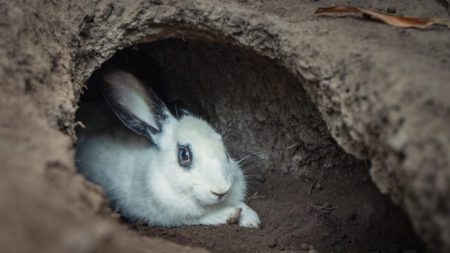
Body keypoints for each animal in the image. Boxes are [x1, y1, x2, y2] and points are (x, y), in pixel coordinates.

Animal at [75, 68, 260, 227]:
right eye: (184, 155)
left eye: (226, 151)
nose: (221, 191)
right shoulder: (171, 217)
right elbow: (202, 217)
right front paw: (232, 214)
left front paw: (251, 219)